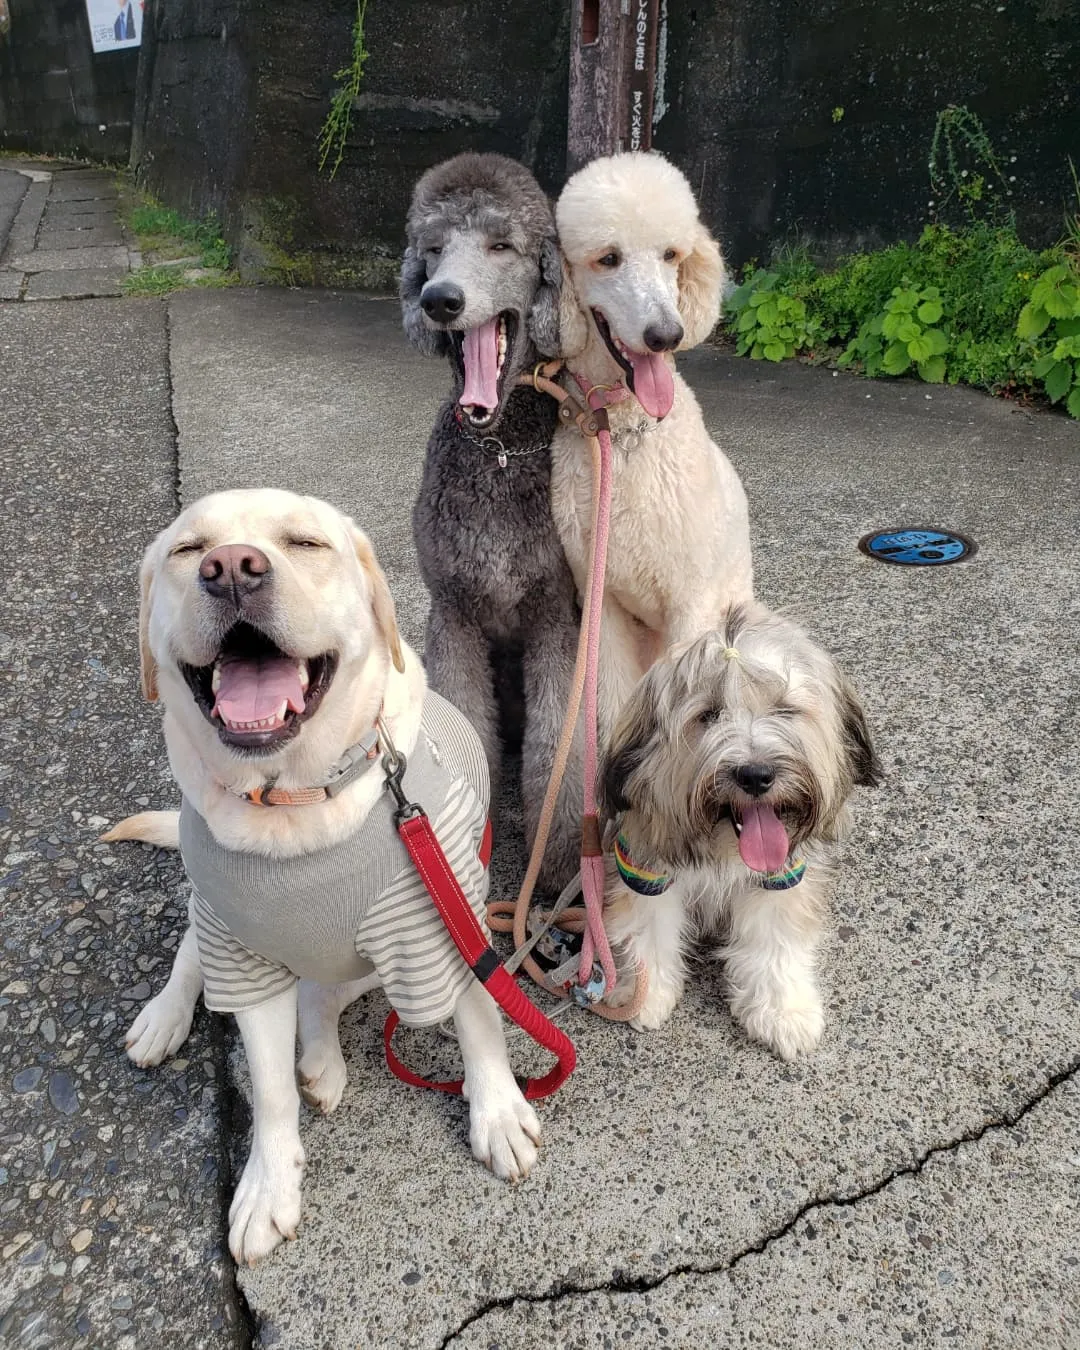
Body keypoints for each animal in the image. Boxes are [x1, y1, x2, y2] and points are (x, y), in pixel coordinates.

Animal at [599, 607, 874, 1058]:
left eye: (784, 710)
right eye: (708, 715)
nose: (756, 774)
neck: (722, 844)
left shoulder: (781, 877)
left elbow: (775, 942)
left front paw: (783, 1010)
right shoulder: (644, 868)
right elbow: (647, 932)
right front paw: (644, 993)